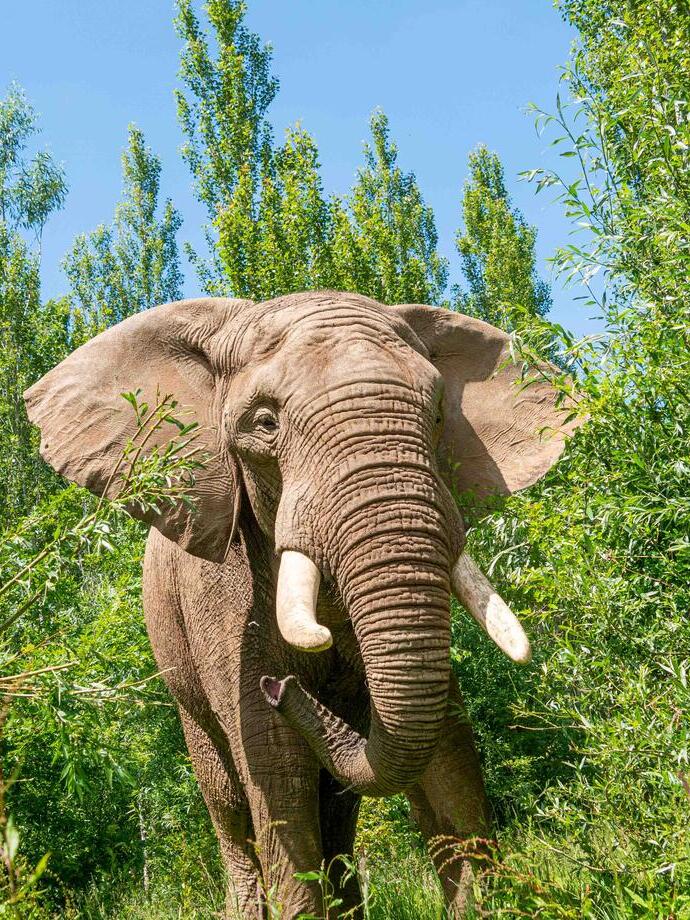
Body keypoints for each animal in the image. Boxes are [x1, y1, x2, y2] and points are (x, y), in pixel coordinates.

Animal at [24, 291, 579, 918]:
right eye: (264, 424)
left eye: (438, 414)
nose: (282, 687)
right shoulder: (223, 595)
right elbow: (274, 765)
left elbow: (448, 754)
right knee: (231, 802)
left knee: (335, 802)